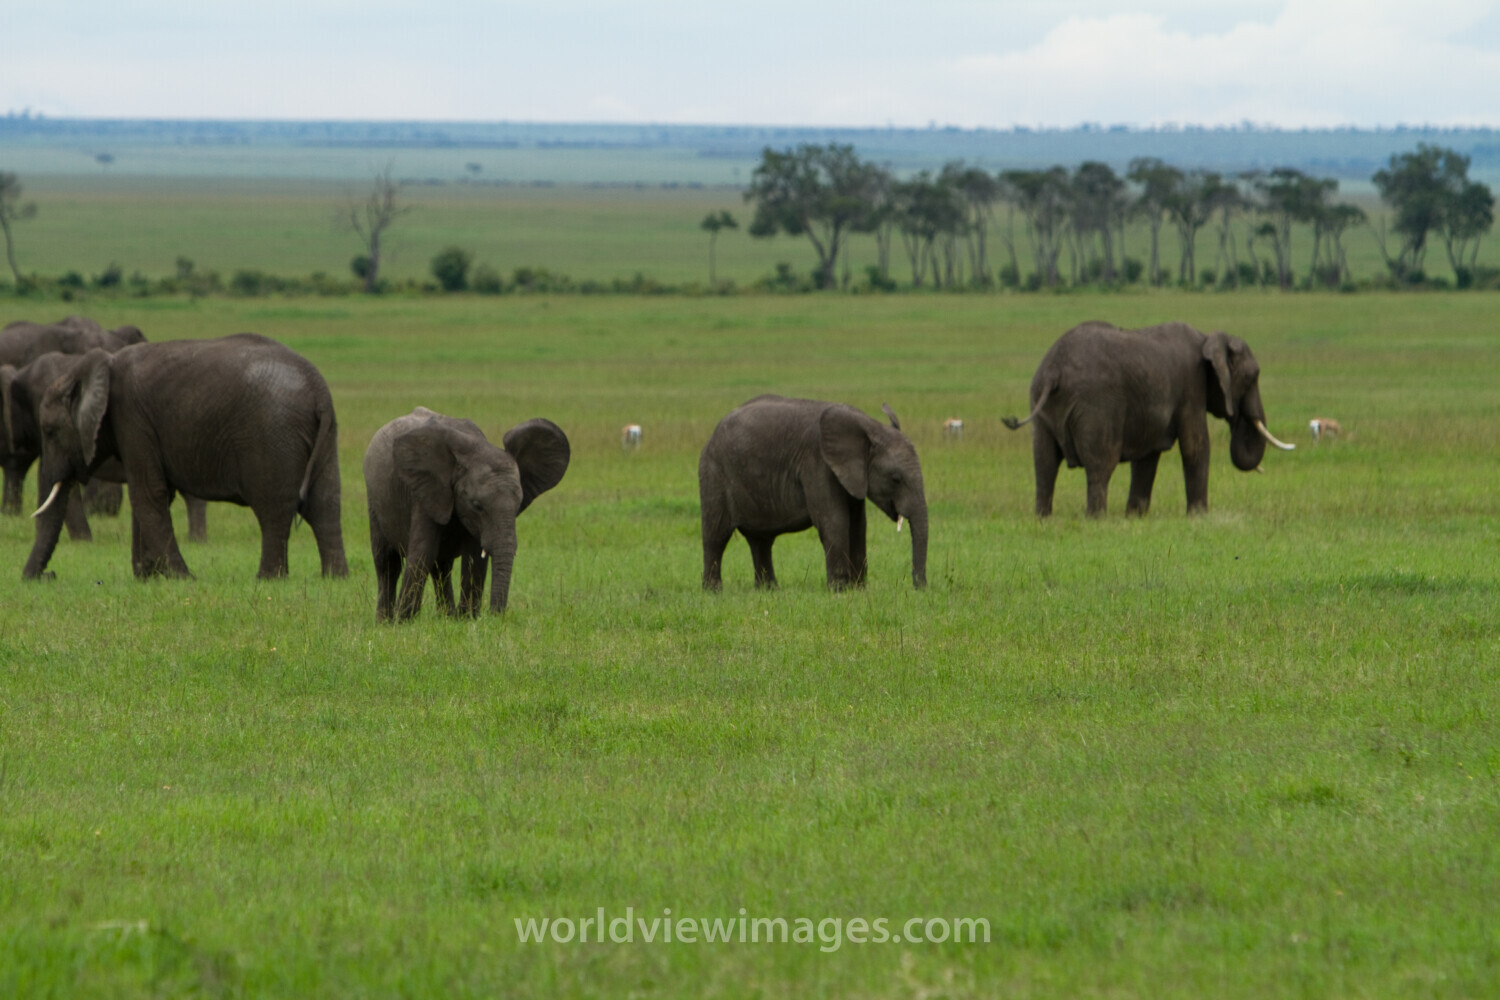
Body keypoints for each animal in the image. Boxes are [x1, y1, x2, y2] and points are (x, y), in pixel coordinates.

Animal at [25, 333, 346, 580]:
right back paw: (334, 578)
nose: (47, 576)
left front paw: (181, 578)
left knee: (273, 508)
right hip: (324, 434)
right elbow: (155, 495)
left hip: (272, 435)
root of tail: (318, 390)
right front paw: (150, 577)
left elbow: (148, 494)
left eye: (50, 432)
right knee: (324, 503)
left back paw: (268, 579)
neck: (93, 366)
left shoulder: (131, 419)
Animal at [363, 407, 570, 620]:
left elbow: (474, 557)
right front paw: (405, 621)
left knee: (441, 567)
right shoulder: (426, 492)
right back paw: (385, 622)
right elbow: (423, 552)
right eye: (477, 505)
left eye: (518, 505)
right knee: (387, 563)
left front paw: (466, 619)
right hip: (374, 501)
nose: (496, 615)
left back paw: (446, 617)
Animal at [699, 395, 928, 591]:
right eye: (896, 478)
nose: (920, 588)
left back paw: (769, 591)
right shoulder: (818, 465)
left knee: (760, 540)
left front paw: (859, 589)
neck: (869, 427)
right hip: (714, 473)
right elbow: (835, 521)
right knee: (716, 534)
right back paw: (714, 591)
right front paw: (840, 590)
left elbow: (858, 525)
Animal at [1002, 321, 1295, 517]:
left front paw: (1134, 517)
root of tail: (1054, 370)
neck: (1208, 337)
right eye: (1253, 376)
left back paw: (1043, 519)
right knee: (1100, 465)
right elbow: (1195, 446)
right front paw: (1199, 517)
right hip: (1096, 407)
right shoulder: (1191, 387)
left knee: (1044, 464)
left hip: (1041, 402)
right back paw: (1096, 519)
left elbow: (1147, 457)